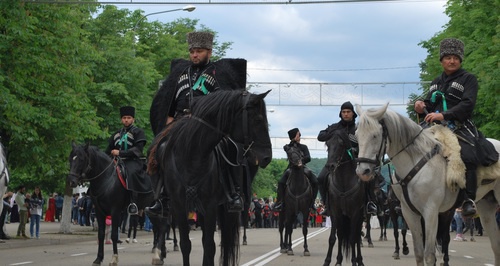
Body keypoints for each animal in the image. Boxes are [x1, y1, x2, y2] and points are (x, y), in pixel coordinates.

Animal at [157, 90, 272, 266]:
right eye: (258, 119)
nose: (267, 157)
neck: (192, 155)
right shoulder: (179, 205)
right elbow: (185, 244)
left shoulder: (209, 206)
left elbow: (209, 246)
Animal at [322, 130, 366, 266]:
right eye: (327, 145)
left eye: (341, 144)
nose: (330, 166)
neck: (343, 183)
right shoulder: (335, 212)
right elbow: (334, 238)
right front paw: (328, 261)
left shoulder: (355, 213)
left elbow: (352, 239)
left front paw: (354, 261)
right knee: (341, 235)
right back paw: (339, 260)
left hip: (360, 216)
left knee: (356, 236)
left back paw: (359, 260)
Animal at [356, 103, 500, 266]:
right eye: (357, 135)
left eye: (375, 135)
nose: (363, 171)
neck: (415, 162)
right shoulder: (409, 213)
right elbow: (418, 252)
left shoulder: (430, 212)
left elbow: (429, 254)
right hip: (486, 207)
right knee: (496, 245)